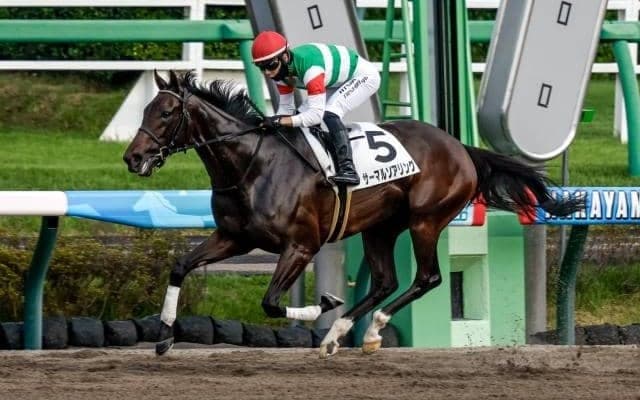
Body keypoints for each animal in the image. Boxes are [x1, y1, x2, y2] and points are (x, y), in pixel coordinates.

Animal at [123, 70, 584, 358]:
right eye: (144, 110)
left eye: (166, 113)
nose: (133, 158)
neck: (251, 164)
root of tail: (461, 148)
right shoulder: (234, 237)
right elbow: (180, 267)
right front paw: (163, 337)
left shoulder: (301, 246)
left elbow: (271, 303)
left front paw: (324, 304)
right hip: (380, 228)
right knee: (385, 282)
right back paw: (339, 335)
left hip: (425, 220)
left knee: (427, 278)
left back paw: (371, 328)